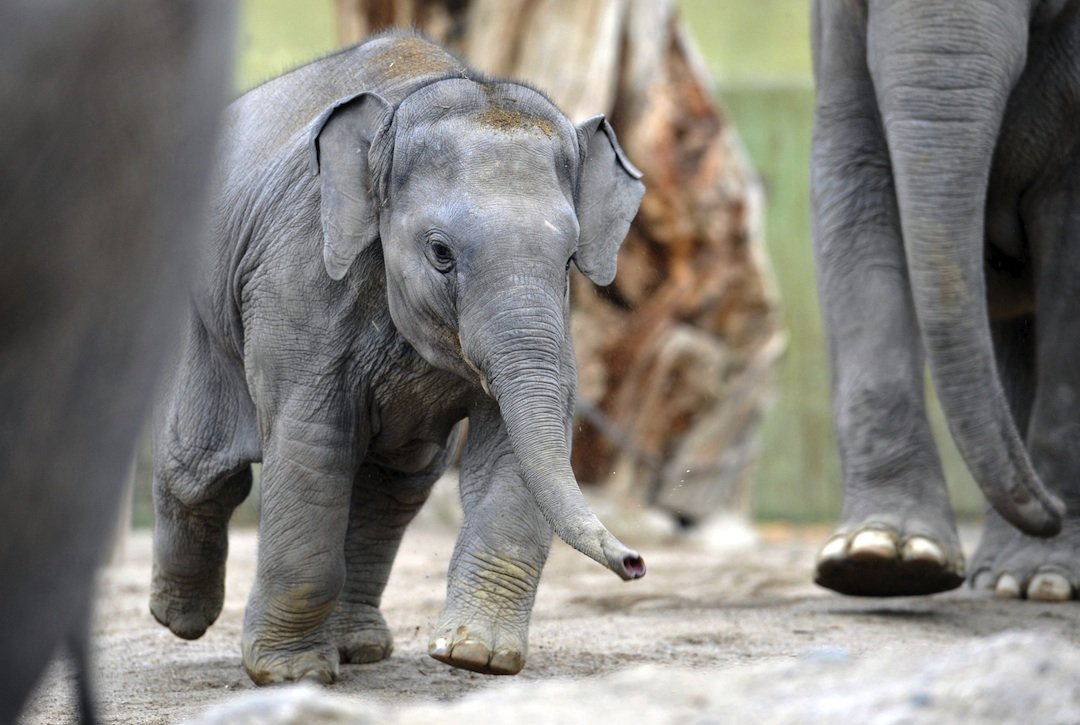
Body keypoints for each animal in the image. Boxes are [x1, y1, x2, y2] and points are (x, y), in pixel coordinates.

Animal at [147, 29, 643, 687]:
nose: (636, 562)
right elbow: (313, 447)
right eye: (441, 253)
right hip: (194, 311)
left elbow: (514, 453)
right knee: (200, 469)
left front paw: (475, 657)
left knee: (392, 488)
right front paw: (292, 674)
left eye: (568, 260)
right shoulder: (300, 283)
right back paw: (182, 619)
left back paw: (359, 648)